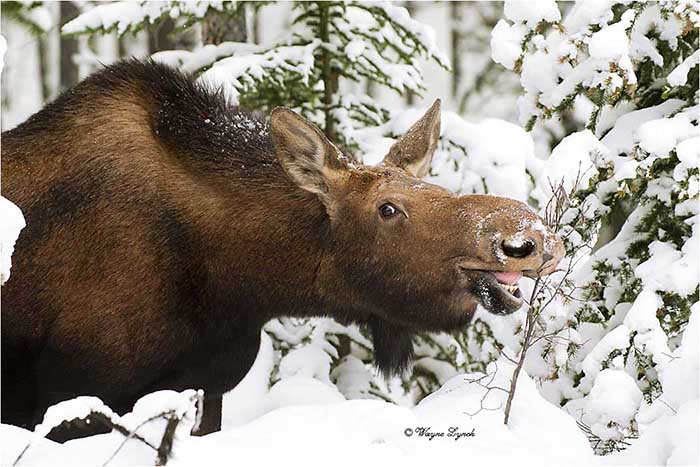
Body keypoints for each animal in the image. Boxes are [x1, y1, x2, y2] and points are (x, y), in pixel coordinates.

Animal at [1, 59, 564, 437]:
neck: (238, 285)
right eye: (387, 208)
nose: (527, 238)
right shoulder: (75, 395)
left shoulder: (207, 386)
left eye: (437, 187)